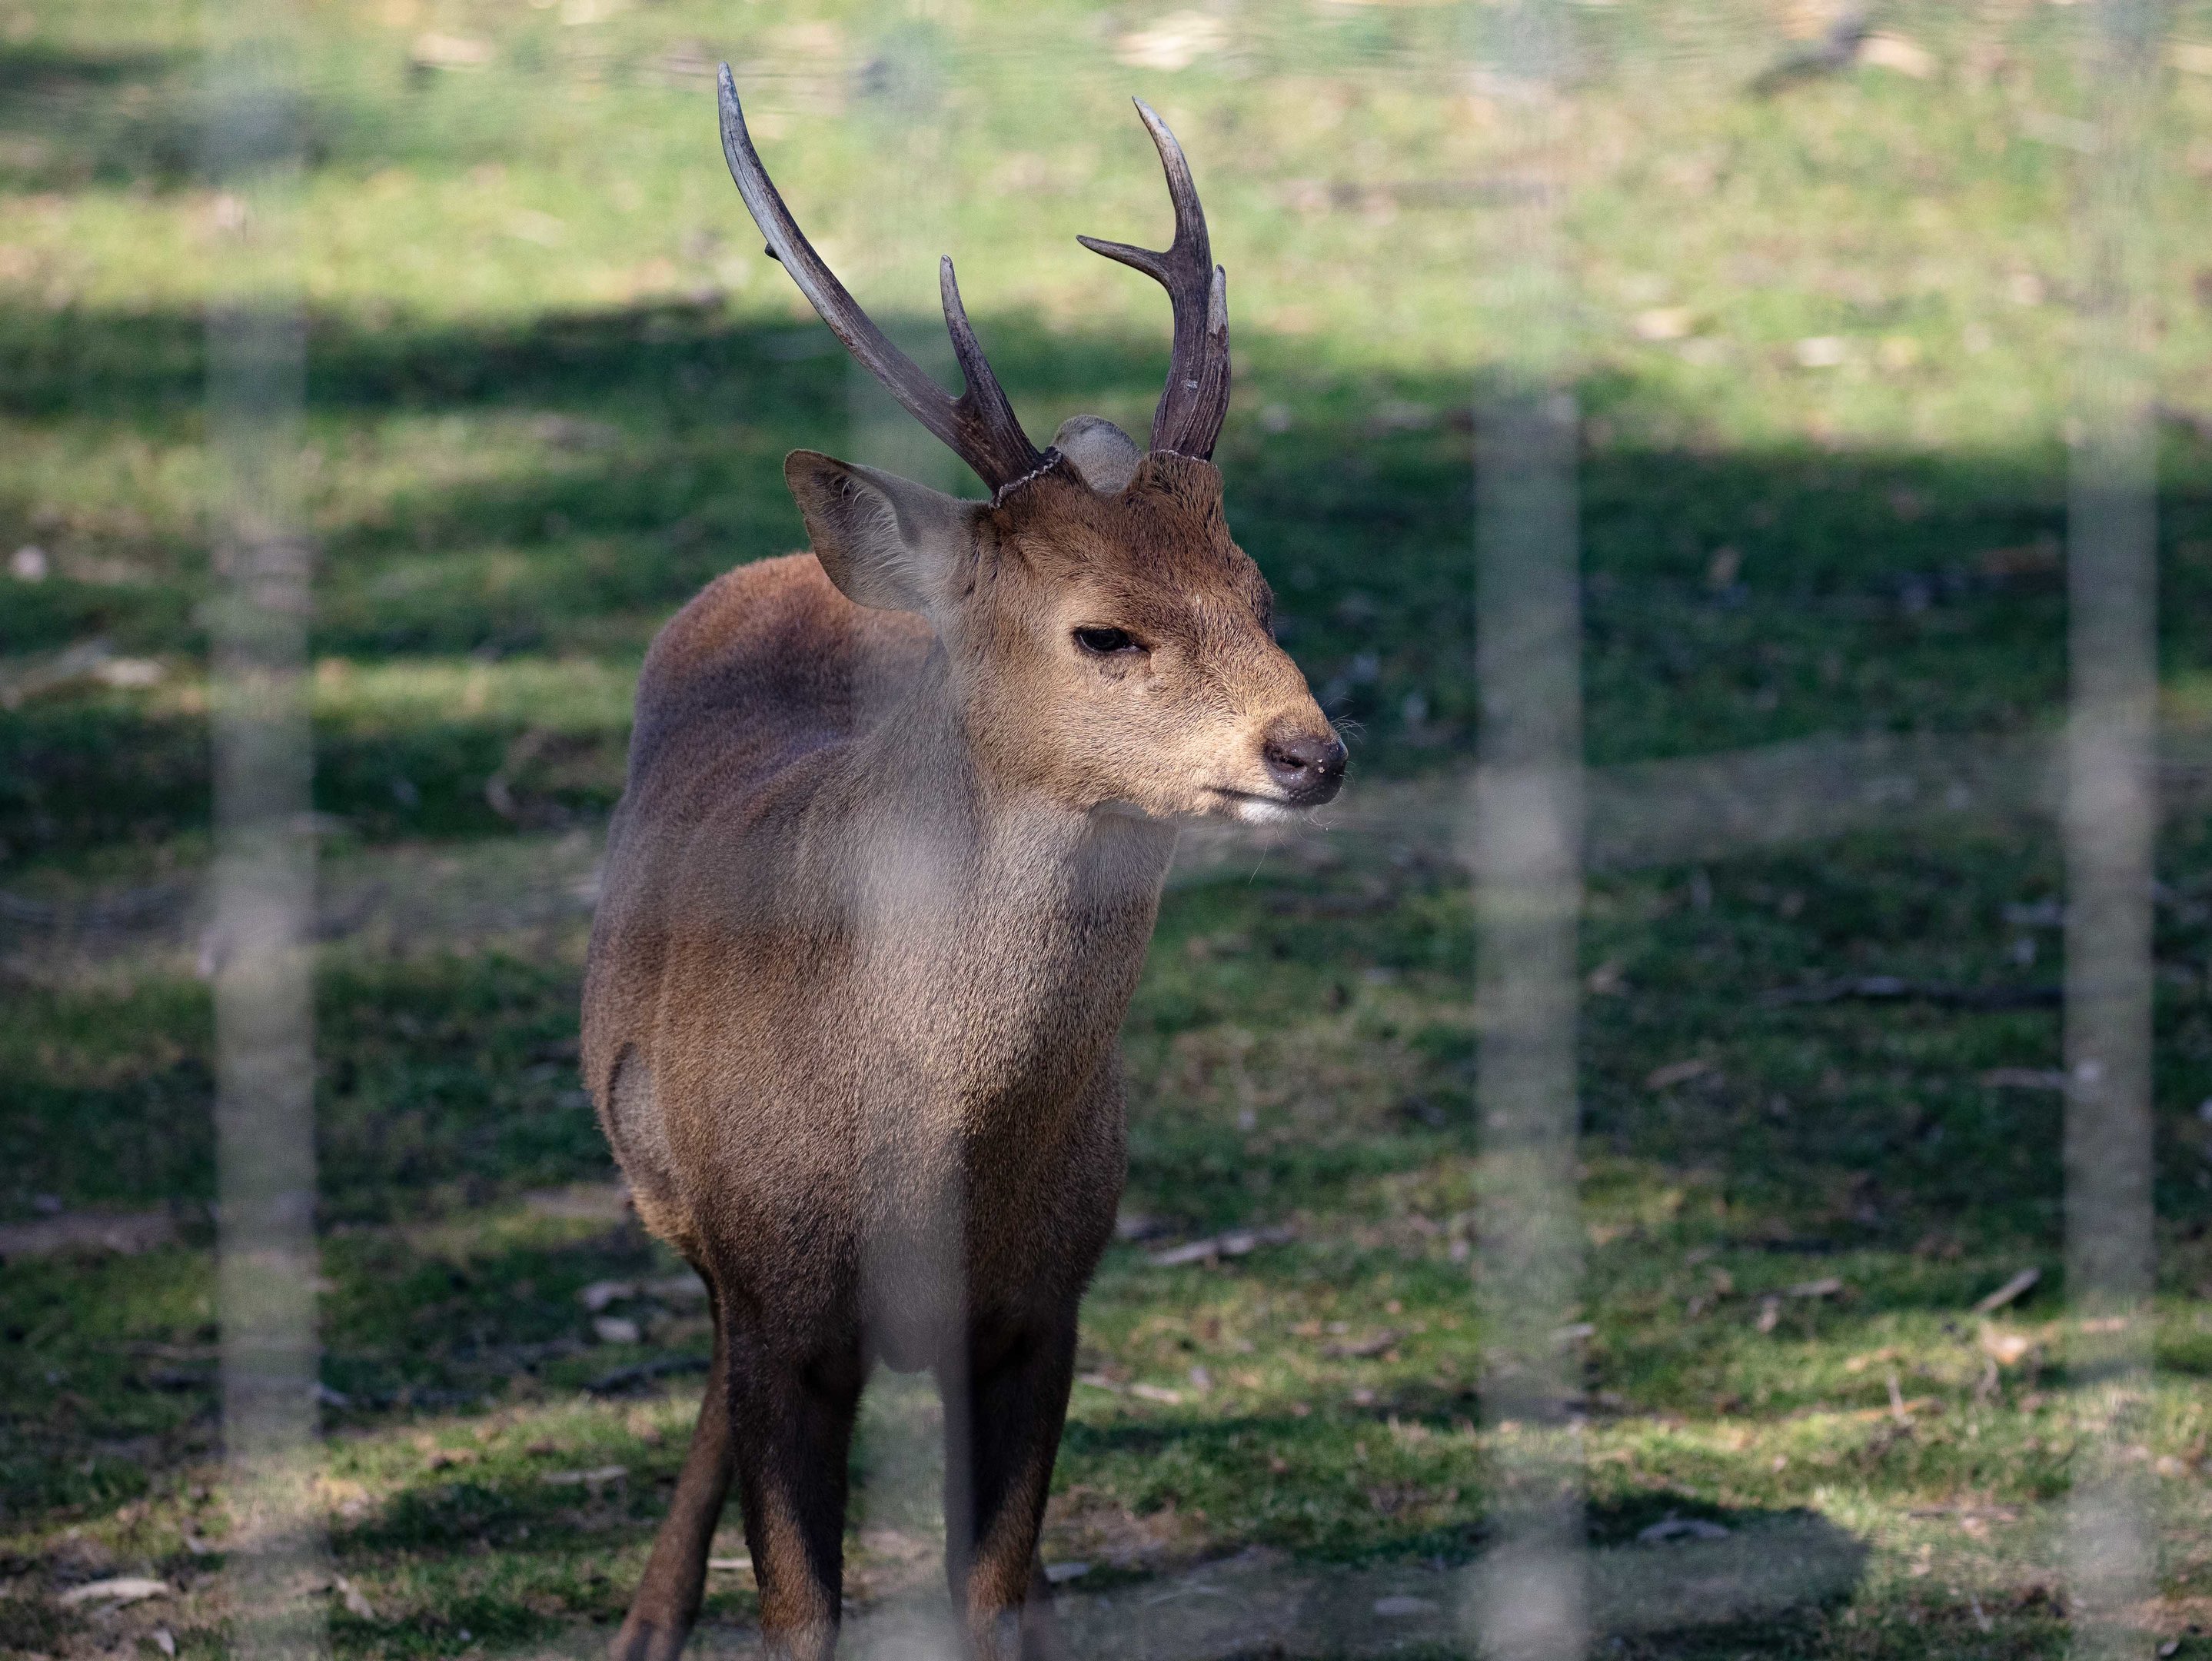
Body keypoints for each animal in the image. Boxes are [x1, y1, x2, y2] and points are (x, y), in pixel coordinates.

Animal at [579, 65, 1346, 1661]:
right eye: (1103, 629)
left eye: (1257, 593)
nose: (1312, 752)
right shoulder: (780, 1307)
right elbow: (798, 1614)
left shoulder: (1047, 1302)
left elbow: (991, 1594)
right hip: (685, 1214)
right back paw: (643, 1625)